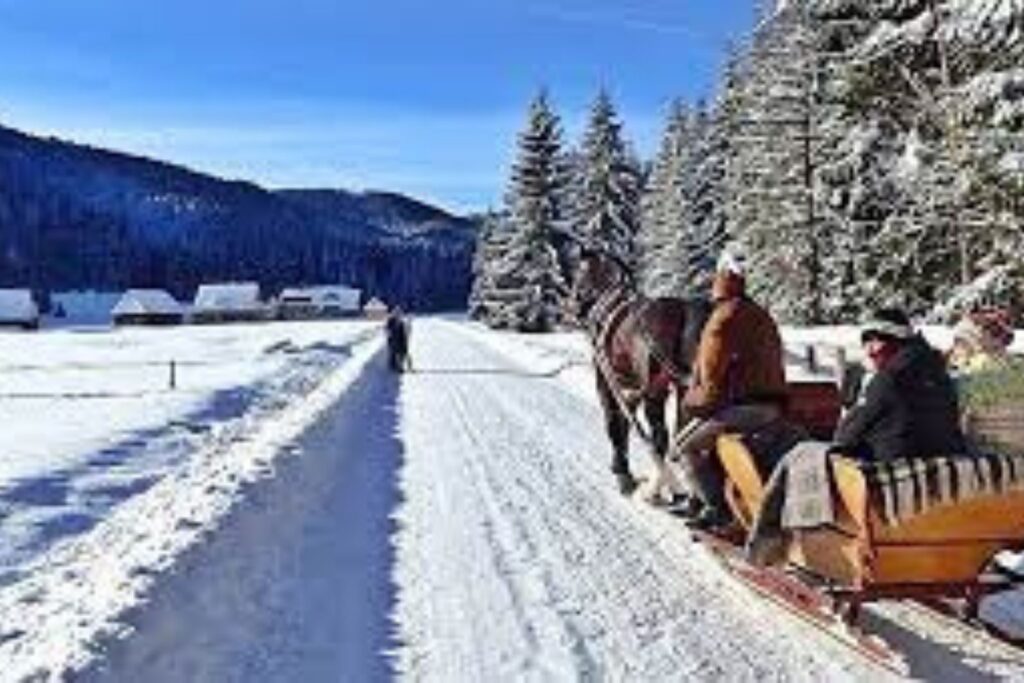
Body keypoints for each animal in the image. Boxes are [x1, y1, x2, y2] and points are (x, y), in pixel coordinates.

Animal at [569, 250, 712, 501]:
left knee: (660, 435)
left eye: (580, 272)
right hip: (683, 387)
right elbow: (626, 422)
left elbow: (614, 424)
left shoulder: (606, 381)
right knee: (680, 432)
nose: (574, 305)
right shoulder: (628, 386)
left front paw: (622, 473)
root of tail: (683, 310)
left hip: (655, 389)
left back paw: (661, 488)